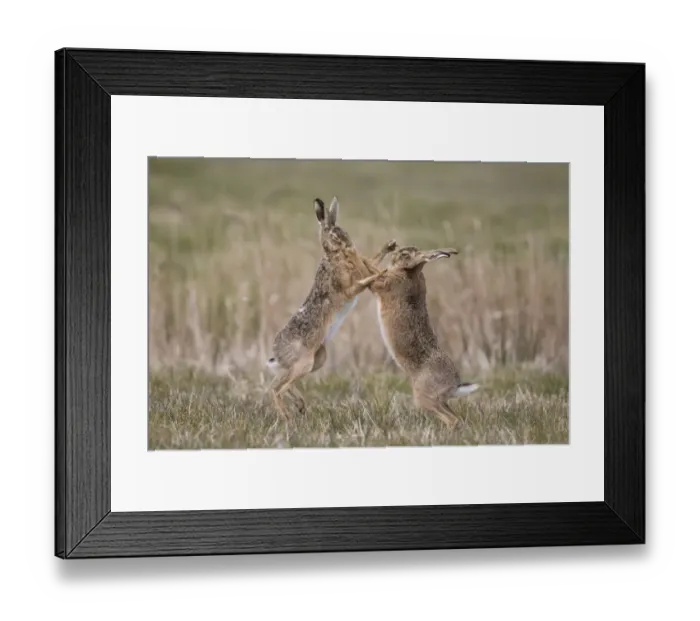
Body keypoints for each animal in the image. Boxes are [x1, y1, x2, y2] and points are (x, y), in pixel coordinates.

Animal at [266, 196, 396, 420]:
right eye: (335, 235)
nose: (349, 244)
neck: (334, 255)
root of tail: (277, 352)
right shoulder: (347, 288)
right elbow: (361, 282)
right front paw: (381, 273)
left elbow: (371, 261)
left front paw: (389, 246)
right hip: (304, 363)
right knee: (278, 388)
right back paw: (288, 416)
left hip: (317, 359)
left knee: (280, 383)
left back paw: (299, 406)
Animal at [365, 245, 479, 428]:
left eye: (405, 254)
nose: (393, 255)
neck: (411, 271)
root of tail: (454, 385)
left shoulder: (384, 284)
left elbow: (372, 274)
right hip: (438, 400)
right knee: (455, 416)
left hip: (423, 397)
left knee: (452, 420)